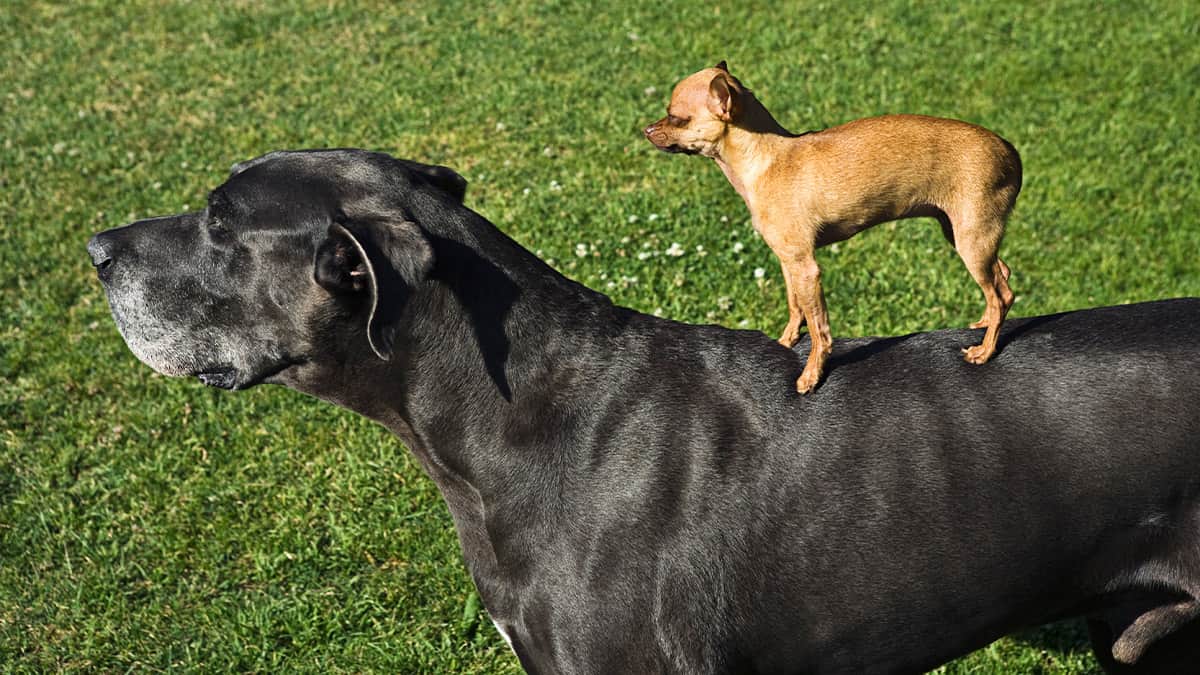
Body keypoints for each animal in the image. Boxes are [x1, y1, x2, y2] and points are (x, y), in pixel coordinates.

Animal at [648, 63, 1022, 391]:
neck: (765, 159)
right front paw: (786, 341)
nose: (647, 130)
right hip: (961, 233)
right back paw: (984, 324)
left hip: (972, 240)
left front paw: (811, 375)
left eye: (677, 118)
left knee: (1002, 294)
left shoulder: (806, 268)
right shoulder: (789, 263)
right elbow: (796, 307)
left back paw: (984, 351)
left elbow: (819, 329)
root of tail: (1010, 150)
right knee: (1001, 276)